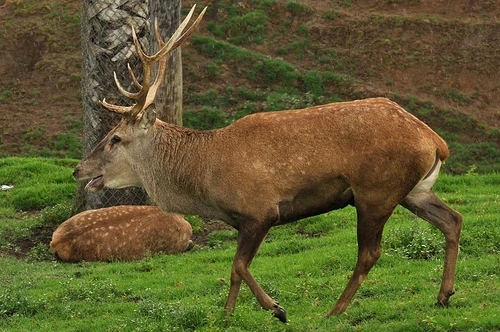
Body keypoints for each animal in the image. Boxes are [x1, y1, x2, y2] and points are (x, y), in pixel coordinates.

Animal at [72, 3, 462, 322]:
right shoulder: (243, 220)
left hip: (375, 191)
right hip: (413, 190)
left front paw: (277, 309)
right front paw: (227, 315)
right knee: (452, 220)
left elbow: (239, 265)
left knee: (370, 253)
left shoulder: (260, 210)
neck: (205, 181)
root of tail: (436, 142)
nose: (78, 169)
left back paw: (335, 310)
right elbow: (234, 269)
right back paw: (443, 295)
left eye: (115, 138)